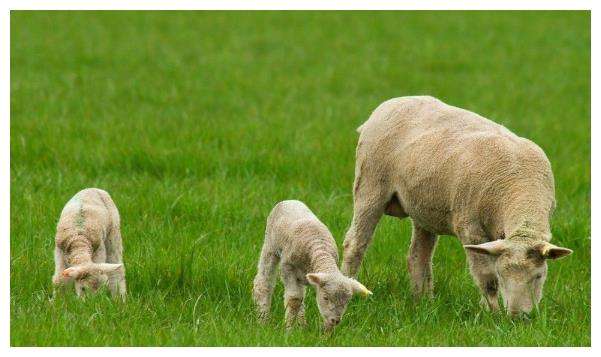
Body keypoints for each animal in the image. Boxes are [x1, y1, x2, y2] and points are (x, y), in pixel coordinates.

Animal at [250, 199, 370, 330]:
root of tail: (290, 200)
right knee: (263, 282)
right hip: (270, 246)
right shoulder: (288, 268)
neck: (320, 250)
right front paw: (288, 328)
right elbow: (294, 299)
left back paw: (302, 324)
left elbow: (300, 300)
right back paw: (263, 320)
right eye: (325, 297)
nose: (336, 320)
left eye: (347, 301)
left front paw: (327, 331)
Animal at [342, 96, 572, 316]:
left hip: (423, 206)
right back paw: (347, 289)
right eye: (502, 274)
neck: (520, 190)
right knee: (354, 243)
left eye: (539, 276)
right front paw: (492, 313)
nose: (517, 317)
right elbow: (486, 278)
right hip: (370, 184)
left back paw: (423, 302)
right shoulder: (470, 227)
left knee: (417, 256)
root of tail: (388, 104)